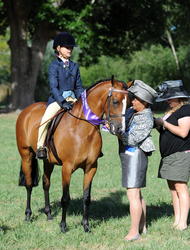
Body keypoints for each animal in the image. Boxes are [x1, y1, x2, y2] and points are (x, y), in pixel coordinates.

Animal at [16, 78, 129, 232]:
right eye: (116, 101)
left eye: (129, 103)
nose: (120, 129)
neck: (82, 129)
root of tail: (26, 110)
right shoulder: (67, 168)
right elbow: (65, 198)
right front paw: (63, 226)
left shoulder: (91, 168)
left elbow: (86, 197)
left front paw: (86, 225)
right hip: (26, 155)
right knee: (29, 185)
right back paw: (28, 215)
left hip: (48, 161)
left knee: (46, 183)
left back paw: (49, 214)